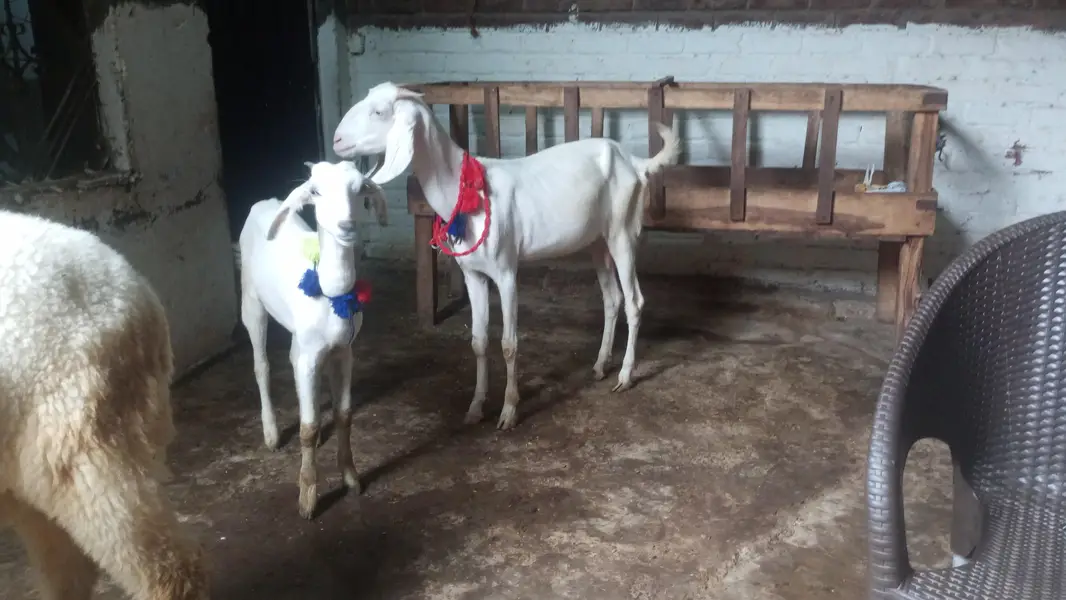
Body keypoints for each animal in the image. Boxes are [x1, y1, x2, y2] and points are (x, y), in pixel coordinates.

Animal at [238, 159, 388, 519]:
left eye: (360, 188)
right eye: (315, 191)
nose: (346, 225)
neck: (332, 293)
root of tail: (263, 202)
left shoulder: (344, 351)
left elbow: (344, 415)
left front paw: (351, 478)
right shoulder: (309, 354)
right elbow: (306, 428)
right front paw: (308, 498)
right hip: (251, 301)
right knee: (261, 364)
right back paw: (271, 432)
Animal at [331, 81, 681, 431]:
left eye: (379, 112)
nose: (336, 140)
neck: (466, 189)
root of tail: (634, 161)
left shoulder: (505, 272)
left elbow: (509, 344)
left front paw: (509, 411)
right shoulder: (473, 274)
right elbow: (478, 340)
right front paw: (475, 407)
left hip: (623, 231)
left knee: (634, 301)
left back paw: (624, 376)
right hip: (598, 240)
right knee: (612, 299)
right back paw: (599, 365)